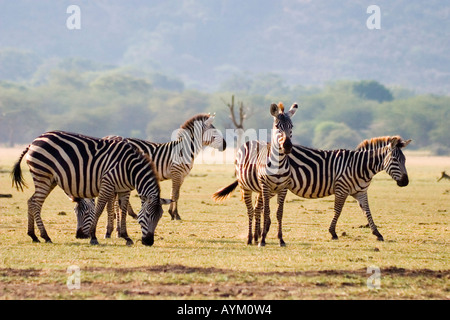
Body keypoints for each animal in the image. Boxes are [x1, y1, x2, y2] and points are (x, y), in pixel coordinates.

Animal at [11, 131, 172, 246]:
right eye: (148, 215)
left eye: (159, 217)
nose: (149, 242)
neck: (130, 168)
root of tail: (33, 141)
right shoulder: (107, 184)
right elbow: (99, 209)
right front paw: (94, 237)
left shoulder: (124, 190)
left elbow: (123, 211)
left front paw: (126, 237)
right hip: (43, 175)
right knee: (35, 203)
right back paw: (45, 236)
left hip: (50, 180)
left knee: (31, 201)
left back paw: (33, 236)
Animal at [213, 102, 298, 248]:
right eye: (277, 126)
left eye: (291, 126)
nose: (287, 146)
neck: (279, 163)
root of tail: (250, 141)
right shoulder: (265, 186)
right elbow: (267, 211)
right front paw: (263, 239)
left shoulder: (283, 188)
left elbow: (279, 212)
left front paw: (280, 239)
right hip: (246, 187)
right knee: (251, 210)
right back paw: (250, 238)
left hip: (261, 191)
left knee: (257, 209)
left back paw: (256, 236)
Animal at [284, 134, 412, 241]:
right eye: (395, 160)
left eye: (405, 160)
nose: (405, 182)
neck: (359, 167)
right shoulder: (341, 189)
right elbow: (338, 210)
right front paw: (333, 232)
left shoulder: (361, 192)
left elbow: (367, 211)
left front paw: (377, 233)